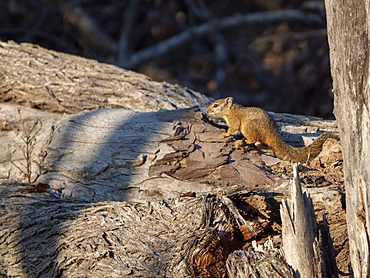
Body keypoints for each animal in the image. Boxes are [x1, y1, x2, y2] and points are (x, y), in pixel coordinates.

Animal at [207, 97, 340, 164]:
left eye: (215, 105)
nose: (207, 111)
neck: (231, 110)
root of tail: (274, 135)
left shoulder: (234, 120)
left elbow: (233, 128)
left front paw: (224, 134)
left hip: (249, 127)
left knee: (253, 139)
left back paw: (242, 141)